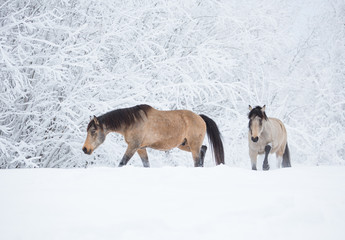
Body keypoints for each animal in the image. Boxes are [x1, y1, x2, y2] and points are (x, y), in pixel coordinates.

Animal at [82, 104, 224, 168]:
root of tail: (200, 118)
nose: (85, 149)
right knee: (203, 149)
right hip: (184, 144)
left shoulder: (133, 147)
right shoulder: (141, 148)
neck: (132, 122)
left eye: (93, 131)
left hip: (193, 145)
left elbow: (122, 163)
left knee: (197, 159)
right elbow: (146, 164)